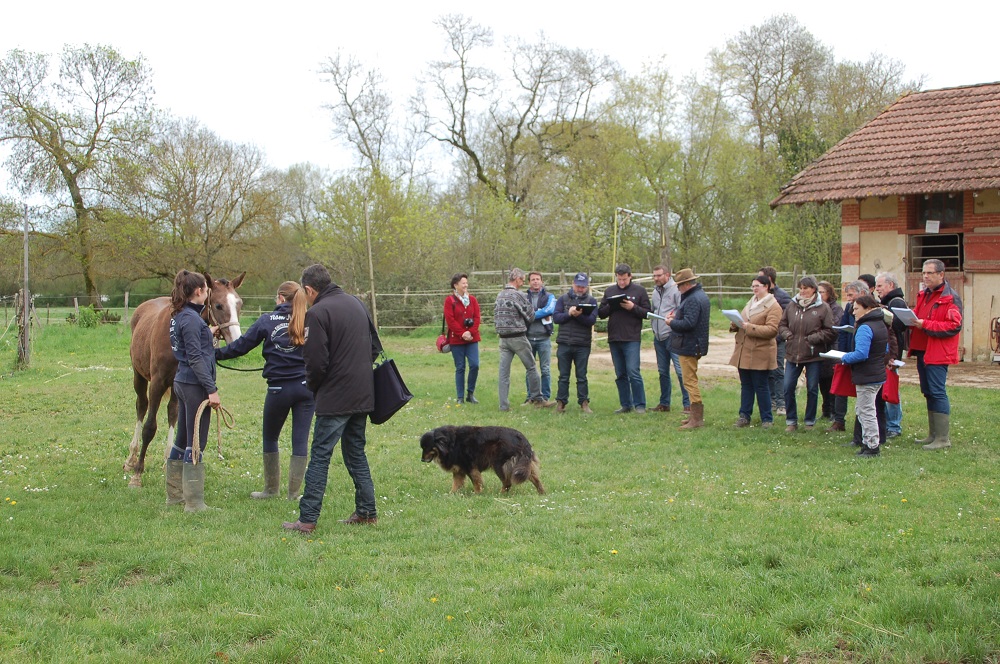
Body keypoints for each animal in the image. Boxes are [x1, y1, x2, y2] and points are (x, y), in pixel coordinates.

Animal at [124, 272, 245, 488]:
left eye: (239, 304)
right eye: (218, 305)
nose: (237, 340)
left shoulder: (176, 385)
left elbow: (176, 418)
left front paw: (168, 464)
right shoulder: (157, 384)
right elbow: (149, 427)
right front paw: (137, 473)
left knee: (172, 412)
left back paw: (166, 460)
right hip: (139, 376)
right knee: (141, 406)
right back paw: (131, 459)